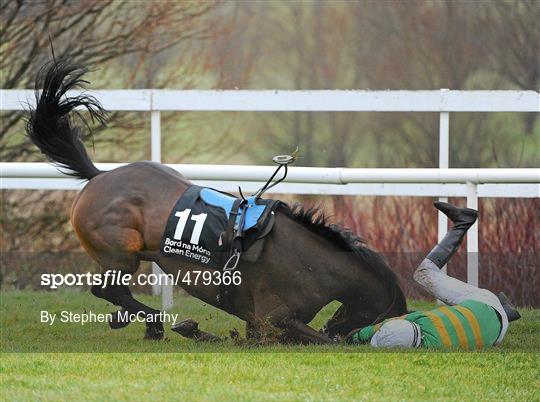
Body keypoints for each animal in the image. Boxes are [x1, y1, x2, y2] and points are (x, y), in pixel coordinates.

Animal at [25, 59, 404, 342]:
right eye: (382, 318)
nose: (339, 326)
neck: (314, 263)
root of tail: (99, 175)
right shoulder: (272, 319)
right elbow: (320, 341)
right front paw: (188, 327)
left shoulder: (259, 325)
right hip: (121, 254)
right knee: (106, 290)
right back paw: (153, 324)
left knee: (111, 293)